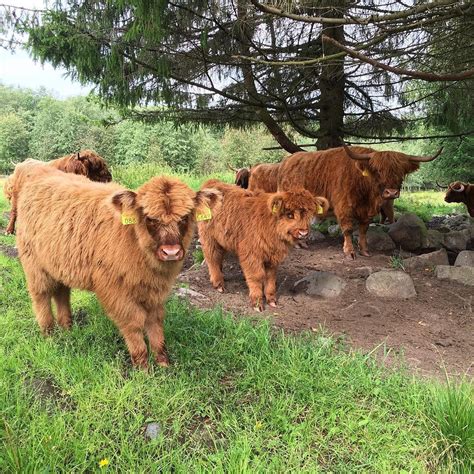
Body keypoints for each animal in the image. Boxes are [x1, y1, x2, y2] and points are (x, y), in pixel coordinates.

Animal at [15, 168, 220, 368]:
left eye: (184, 217)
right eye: (150, 218)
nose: (171, 252)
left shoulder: (155, 290)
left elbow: (155, 321)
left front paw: (163, 363)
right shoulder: (115, 291)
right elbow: (133, 324)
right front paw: (143, 368)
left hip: (58, 266)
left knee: (61, 293)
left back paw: (67, 329)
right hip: (35, 266)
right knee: (41, 296)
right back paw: (49, 335)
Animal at [198, 181, 328, 312]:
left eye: (309, 215)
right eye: (290, 215)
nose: (303, 233)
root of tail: (212, 182)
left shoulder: (272, 257)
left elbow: (270, 277)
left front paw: (271, 300)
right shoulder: (251, 255)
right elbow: (256, 276)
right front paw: (257, 303)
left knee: (219, 257)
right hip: (208, 238)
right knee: (212, 257)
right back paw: (218, 284)